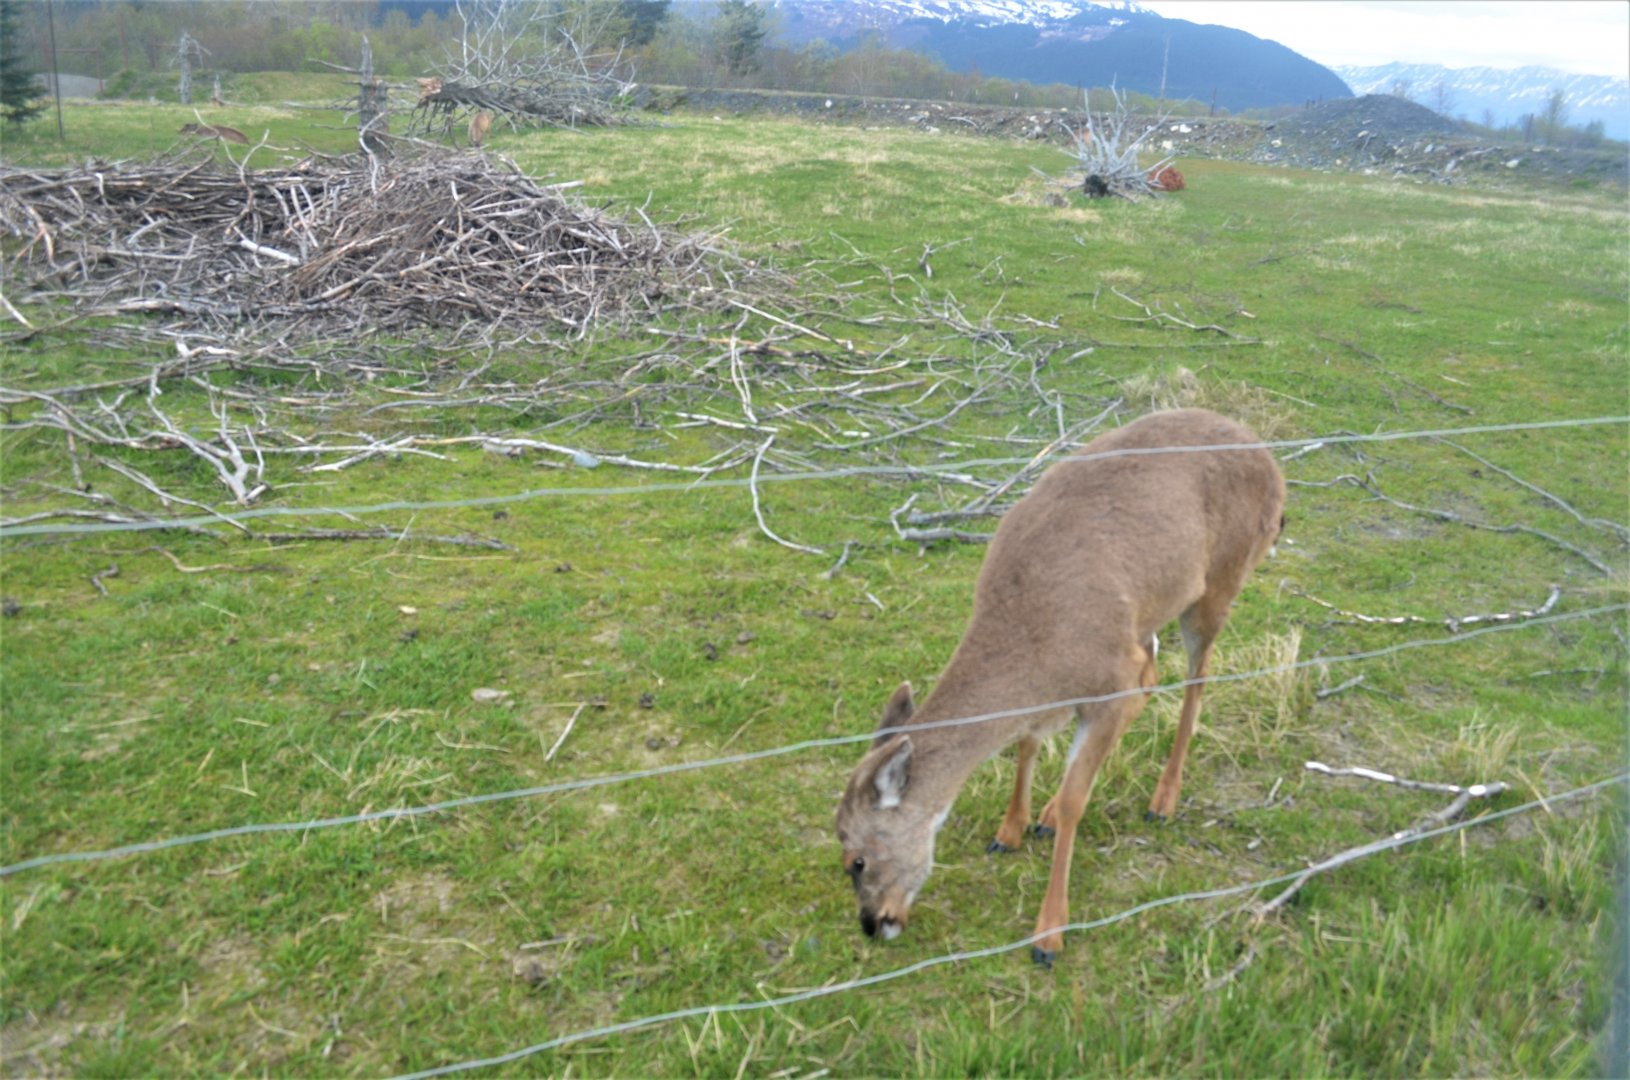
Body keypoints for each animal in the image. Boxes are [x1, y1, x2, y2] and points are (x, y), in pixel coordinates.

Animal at [835, 408, 1285, 966]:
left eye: (856, 859)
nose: (873, 924)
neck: (1032, 642)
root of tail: (1270, 460)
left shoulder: (1106, 679)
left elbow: (1076, 798)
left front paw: (1049, 933)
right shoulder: (1084, 681)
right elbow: (1028, 743)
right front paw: (1011, 830)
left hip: (1220, 582)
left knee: (1195, 681)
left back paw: (1163, 799)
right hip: (1147, 616)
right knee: (1152, 676)